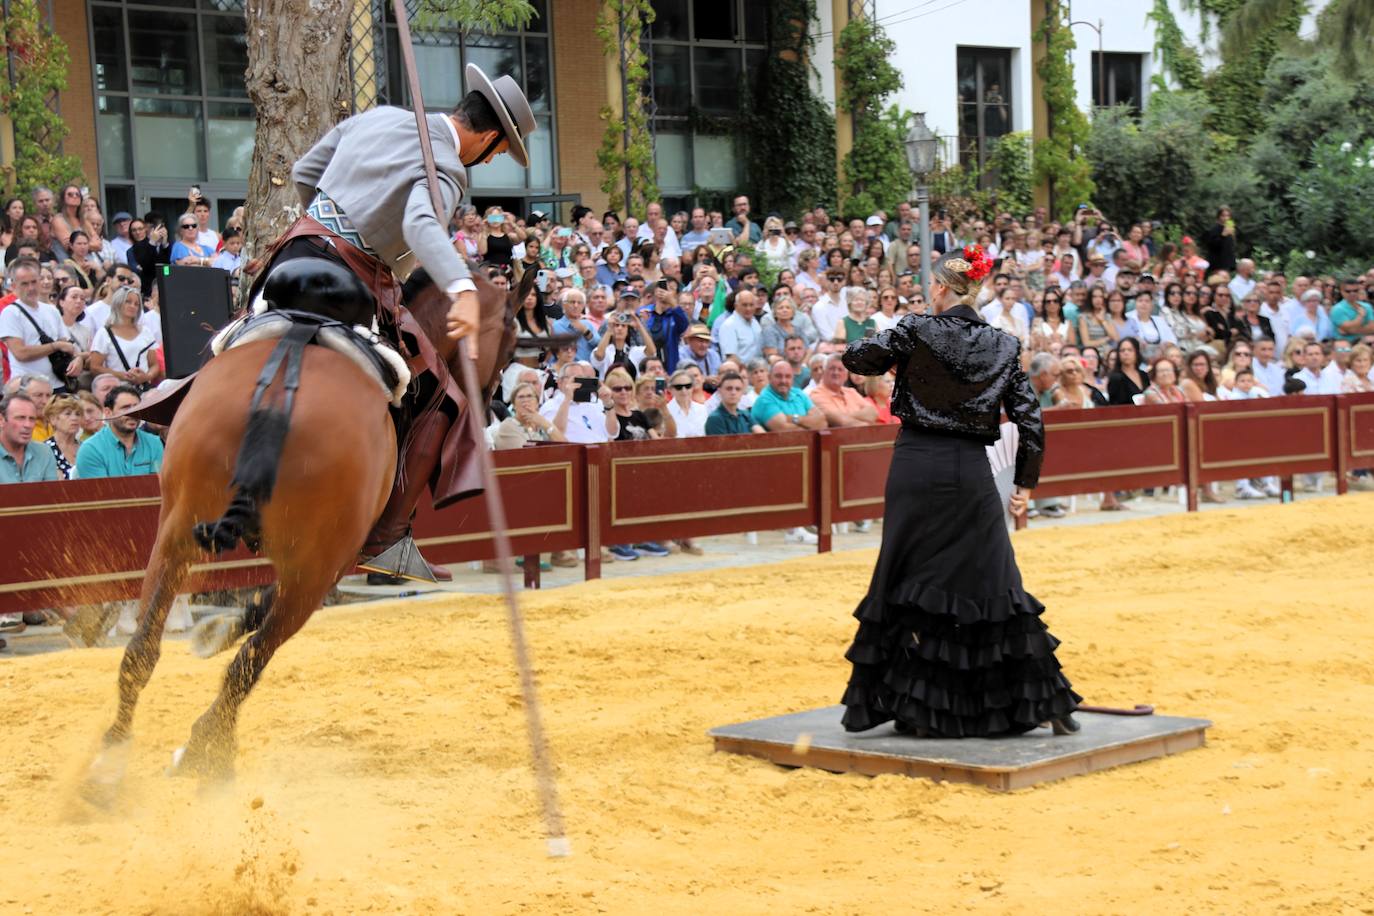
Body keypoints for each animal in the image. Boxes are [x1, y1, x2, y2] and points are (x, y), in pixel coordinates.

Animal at [84, 254, 516, 791]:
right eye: (512, 341)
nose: (492, 399)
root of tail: (283, 387)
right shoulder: (336, 559)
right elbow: (261, 616)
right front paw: (219, 633)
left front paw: (216, 630)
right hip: (314, 568)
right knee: (252, 659)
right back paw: (206, 752)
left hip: (177, 528)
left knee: (144, 647)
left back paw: (110, 763)